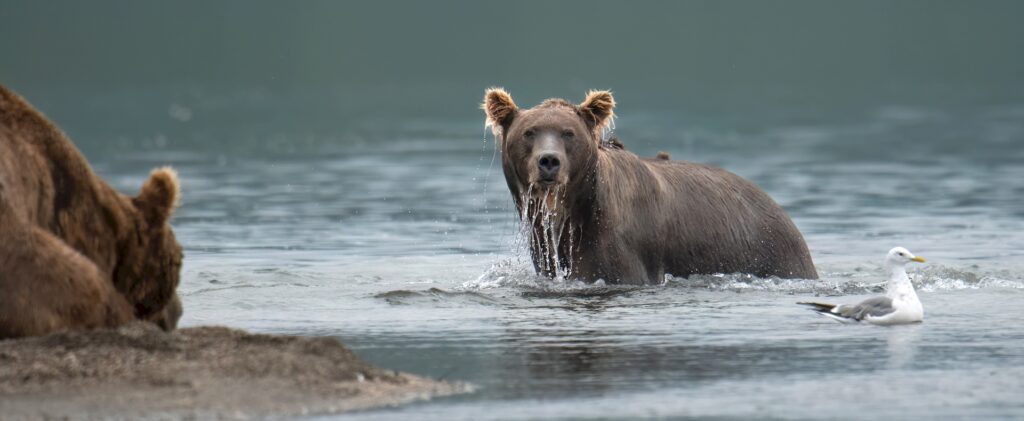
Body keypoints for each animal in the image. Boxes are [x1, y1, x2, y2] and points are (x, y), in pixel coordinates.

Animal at [481, 89, 815, 286]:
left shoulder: (621, 249)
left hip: (772, 252)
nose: (549, 161)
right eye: (529, 132)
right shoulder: (547, 250)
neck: (576, 210)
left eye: (568, 133)